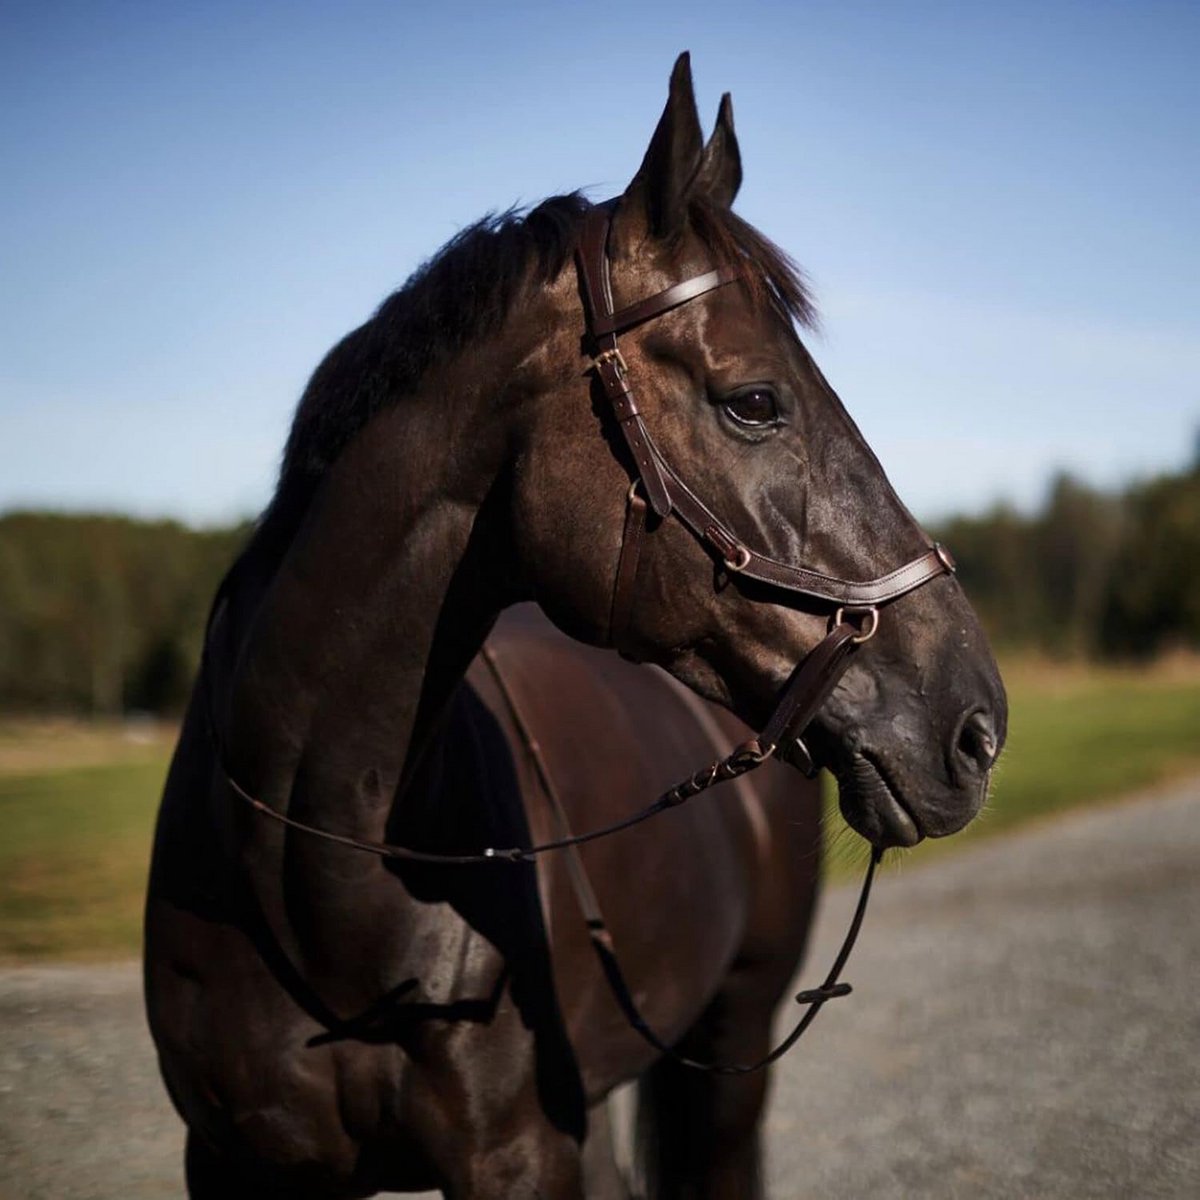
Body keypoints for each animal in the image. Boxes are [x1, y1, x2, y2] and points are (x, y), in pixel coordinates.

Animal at [144, 53, 1006, 1199]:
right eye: (755, 402)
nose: (976, 726)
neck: (310, 869)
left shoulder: (520, 1156)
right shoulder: (234, 1161)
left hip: (732, 1048)